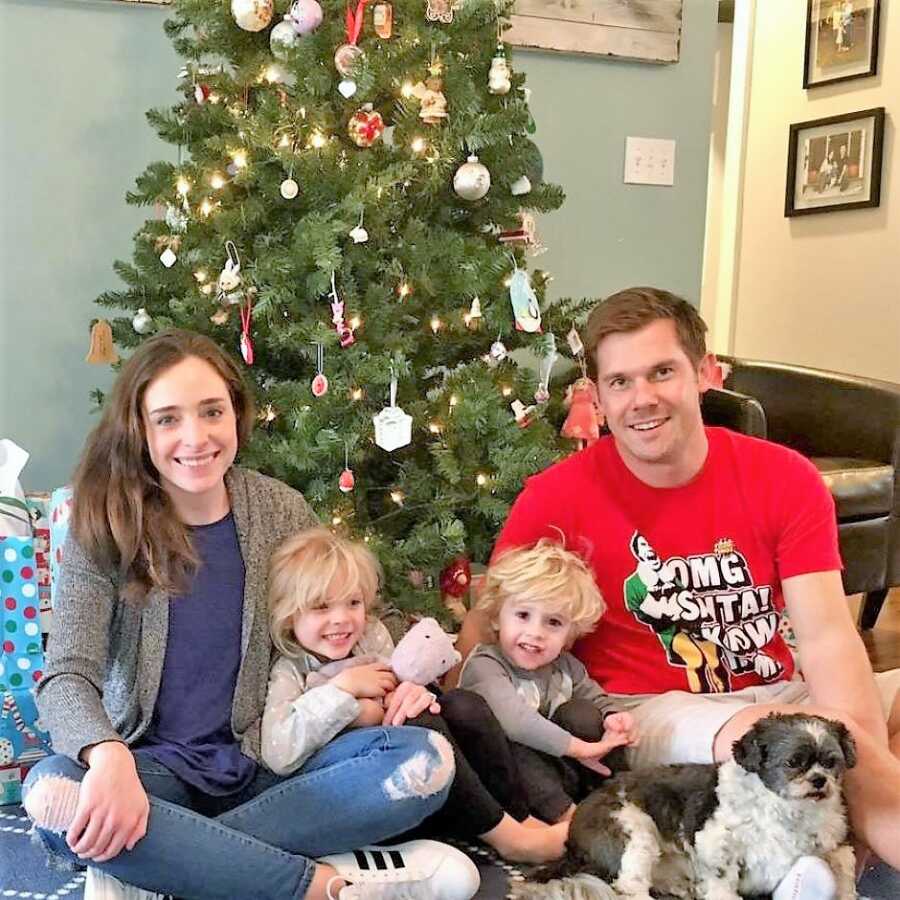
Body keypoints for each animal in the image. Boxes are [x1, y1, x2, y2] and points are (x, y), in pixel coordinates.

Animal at [512, 712, 856, 896]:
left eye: (830, 762)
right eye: (794, 762)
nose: (819, 781)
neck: (789, 813)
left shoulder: (835, 845)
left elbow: (845, 867)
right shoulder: (716, 845)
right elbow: (722, 883)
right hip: (632, 832)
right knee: (630, 888)